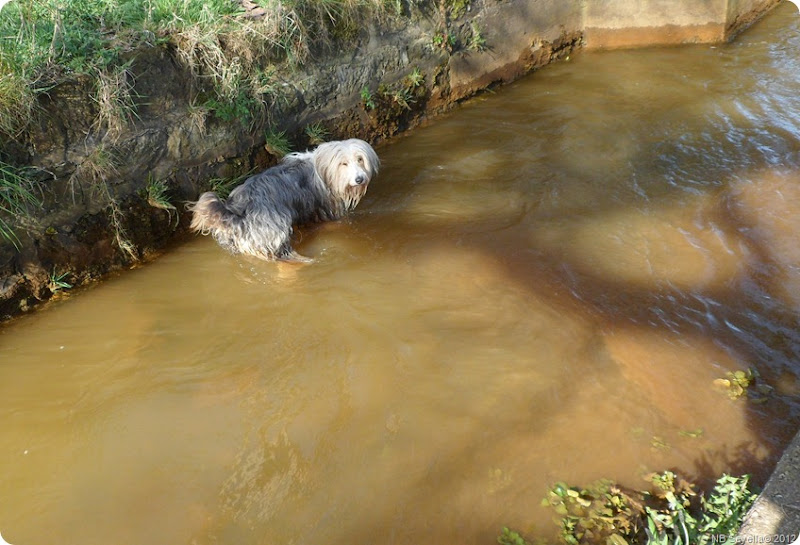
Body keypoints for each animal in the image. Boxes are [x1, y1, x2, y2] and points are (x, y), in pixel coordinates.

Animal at [189, 138, 380, 262]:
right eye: (344, 163)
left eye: (360, 159)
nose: (359, 179)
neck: (324, 170)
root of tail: (238, 216)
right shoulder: (326, 208)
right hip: (273, 235)